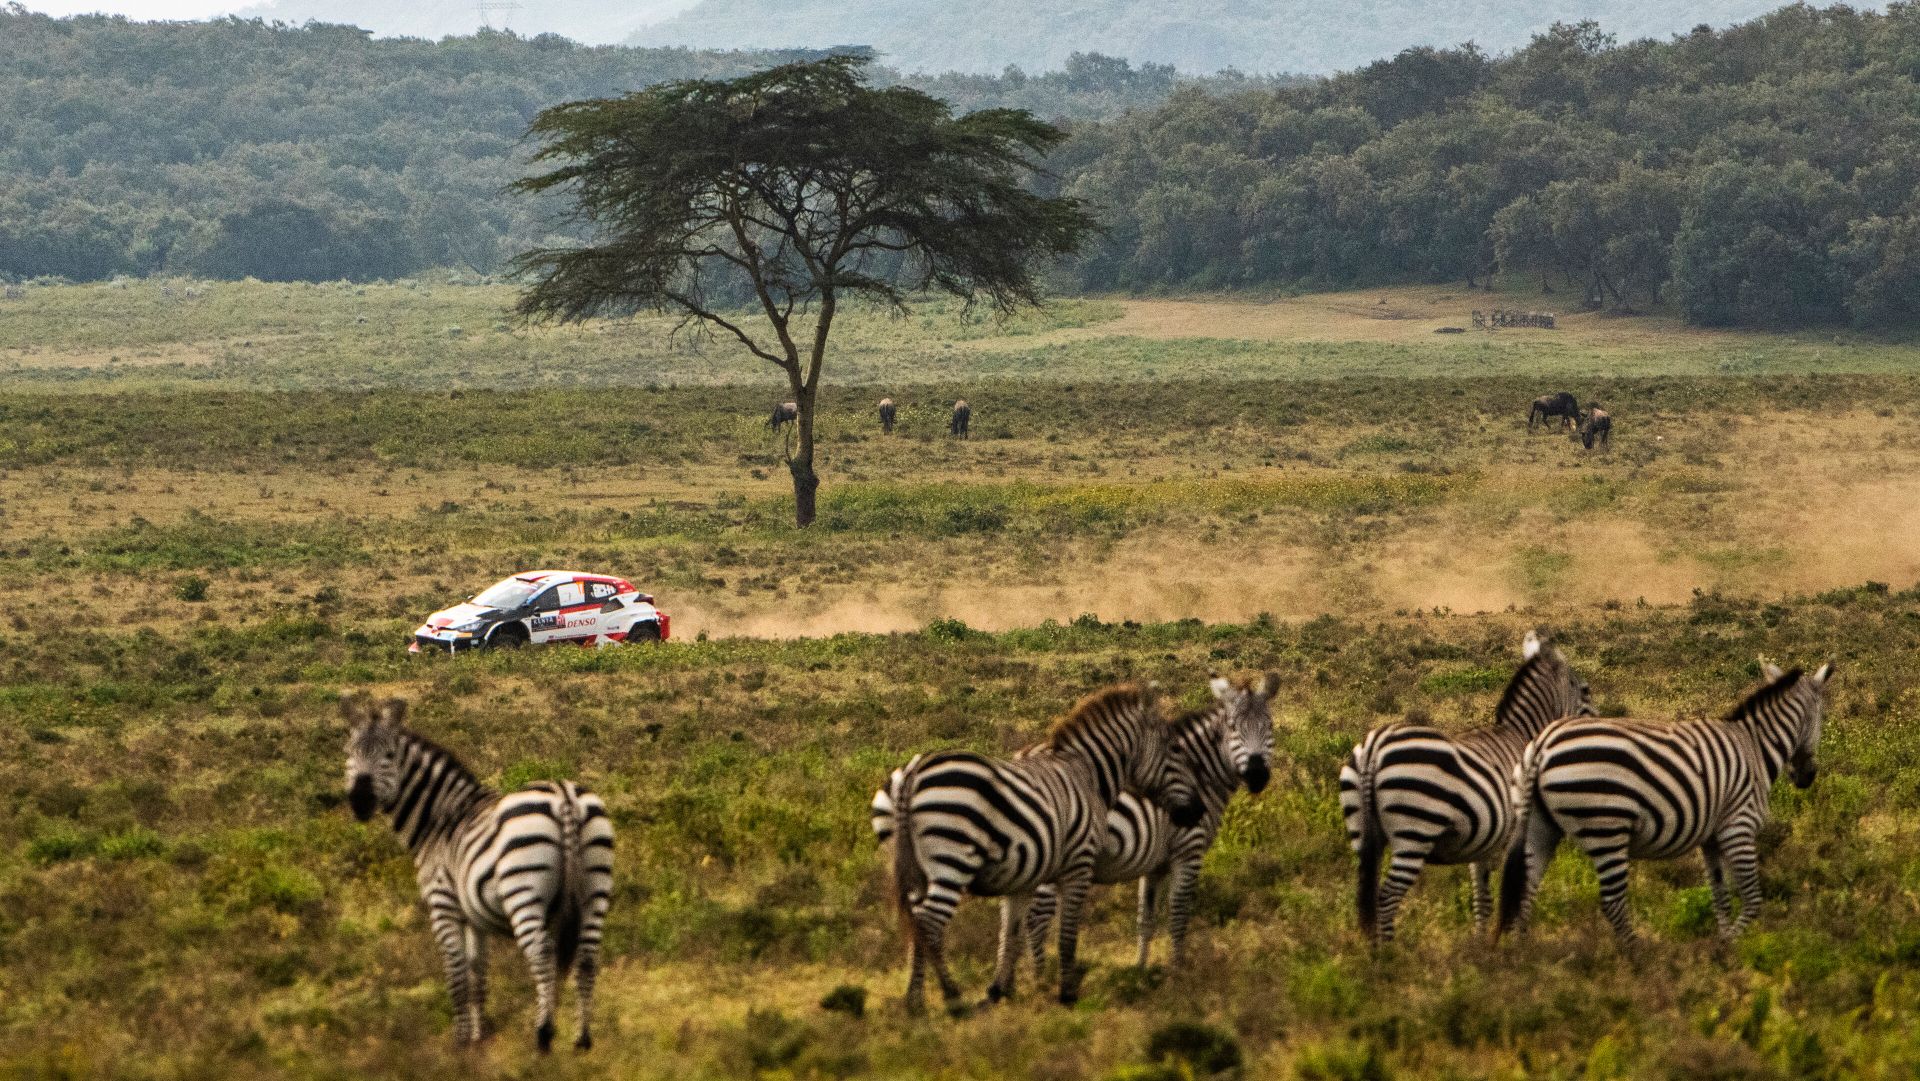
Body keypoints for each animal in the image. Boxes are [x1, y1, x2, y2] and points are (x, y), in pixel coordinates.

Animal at [341, 695, 614, 1052]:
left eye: (388, 756)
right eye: (349, 753)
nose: (360, 801)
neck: (439, 819)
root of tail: (564, 796)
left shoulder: (443, 903)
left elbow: (456, 973)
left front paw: (459, 1044)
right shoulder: (475, 916)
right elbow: (477, 974)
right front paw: (479, 1037)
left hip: (523, 889)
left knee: (542, 953)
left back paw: (543, 1036)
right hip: (595, 886)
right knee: (586, 958)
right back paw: (582, 1041)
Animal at [875, 683, 1198, 1013]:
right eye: (1174, 748)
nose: (1194, 812)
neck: (1088, 775)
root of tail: (912, 774)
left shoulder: (1022, 879)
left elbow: (1012, 933)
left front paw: (999, 992)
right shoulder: (1079, 864)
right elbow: (1067, 934)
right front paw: (1066, 994)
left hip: (910, 866)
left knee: (917, 921)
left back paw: (920, 999)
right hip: (953, 859)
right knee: (929, 923)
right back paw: (945, 996)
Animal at [1021, 672, 1274, 967]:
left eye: (1269, 727)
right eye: (1234, 729)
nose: (1257, 776)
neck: (1199, 775)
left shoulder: (1154, 864)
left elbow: (1145, 920)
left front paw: (1140, 968)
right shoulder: (1189, 850)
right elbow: (1178, 917)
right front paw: (1177, 970)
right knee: (1035, 922)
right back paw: (1040, 975)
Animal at [1336, 629, 1589, 944]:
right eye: (1585, 690)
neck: (1520, 735)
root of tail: (1373, 749)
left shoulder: (1485, 842)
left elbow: (1482, 899)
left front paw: (1480, 945)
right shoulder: (1516, 835)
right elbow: (1514, 891)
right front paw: (1509, 941)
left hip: (1361, 831)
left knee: (1367, 895)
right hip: (1415, 830)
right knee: (1386, 898)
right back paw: (1390, 952)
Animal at [1489, 660, 1835, 948]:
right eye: (1822, 717)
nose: (1807, 776)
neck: (1756, 747)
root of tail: (1542, 745)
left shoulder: (1712, 836)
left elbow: (1719, 897)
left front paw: (1724, 946)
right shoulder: (1739, 824)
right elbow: (1752, 899)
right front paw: (1727, 948)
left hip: (1539, 825)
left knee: (1525, 890)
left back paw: (1523, 957)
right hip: (1606, 826)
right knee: (1612, 902)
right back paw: (1639, 956)